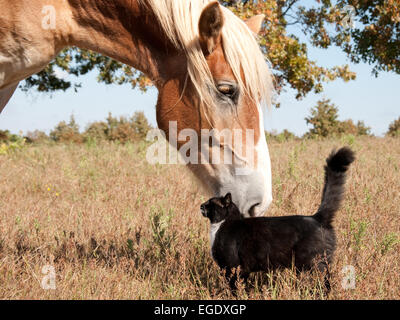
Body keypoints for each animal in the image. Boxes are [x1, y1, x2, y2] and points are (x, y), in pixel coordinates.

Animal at [202, 146, 354, 292]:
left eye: (210, 203)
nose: (201, 205)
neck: (222, 225)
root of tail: (317, 217)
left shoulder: (232, 266)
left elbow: (233, 286)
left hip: (313, 263)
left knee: (323, 282)